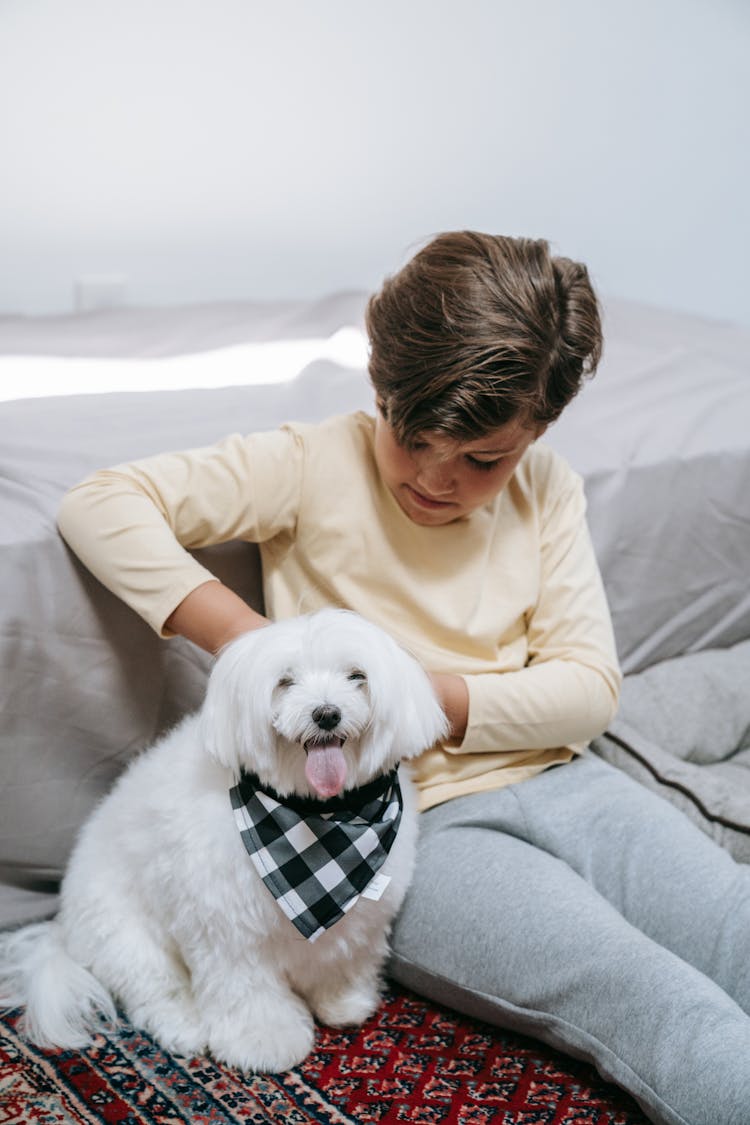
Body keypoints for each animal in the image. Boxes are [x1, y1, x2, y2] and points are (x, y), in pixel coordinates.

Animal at [0, 612, 445, 1066]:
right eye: (285, 682)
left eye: (357, 676)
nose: (326, 714)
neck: (319, 828)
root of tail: (62, 929)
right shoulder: (228, 932)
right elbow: (247, 992)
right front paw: (265, 1040)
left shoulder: (356, 923)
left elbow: (341, 958)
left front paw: (343, 1000)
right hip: (127, 939)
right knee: (156, 991)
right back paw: (183, 1028)